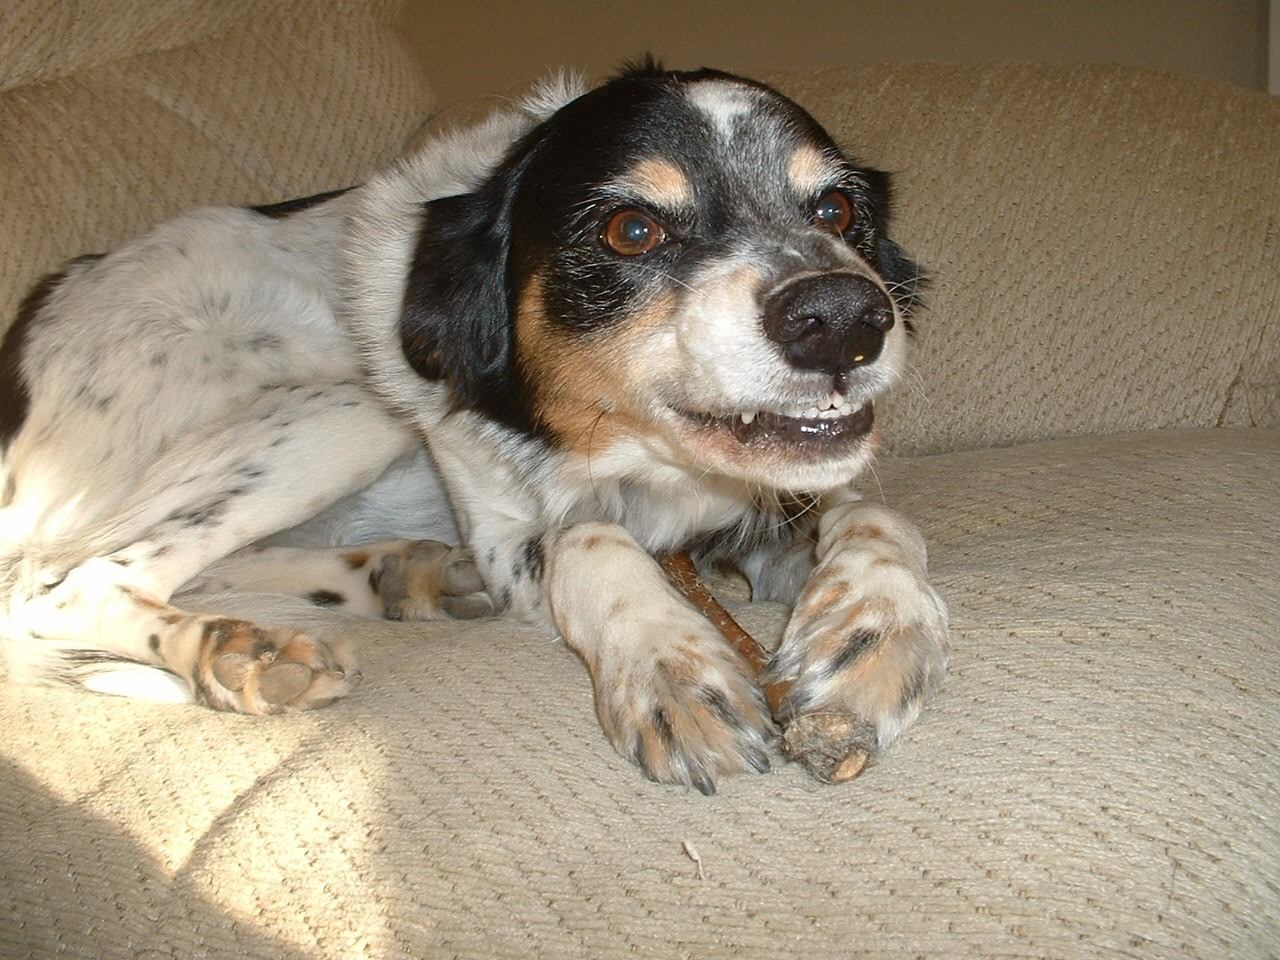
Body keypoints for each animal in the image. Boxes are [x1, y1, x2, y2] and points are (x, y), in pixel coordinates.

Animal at [0, 62, 947, 798]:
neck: (644, 469)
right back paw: (240, 648)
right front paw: (666, 662)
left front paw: (871, 634)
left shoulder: (774, 509)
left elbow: (875, 514)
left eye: (837, 211)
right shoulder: (510, 537)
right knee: (64, 588)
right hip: (347, 408)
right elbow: (592, 542)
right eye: (631, 230)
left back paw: (401, 574)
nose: (844, 319)